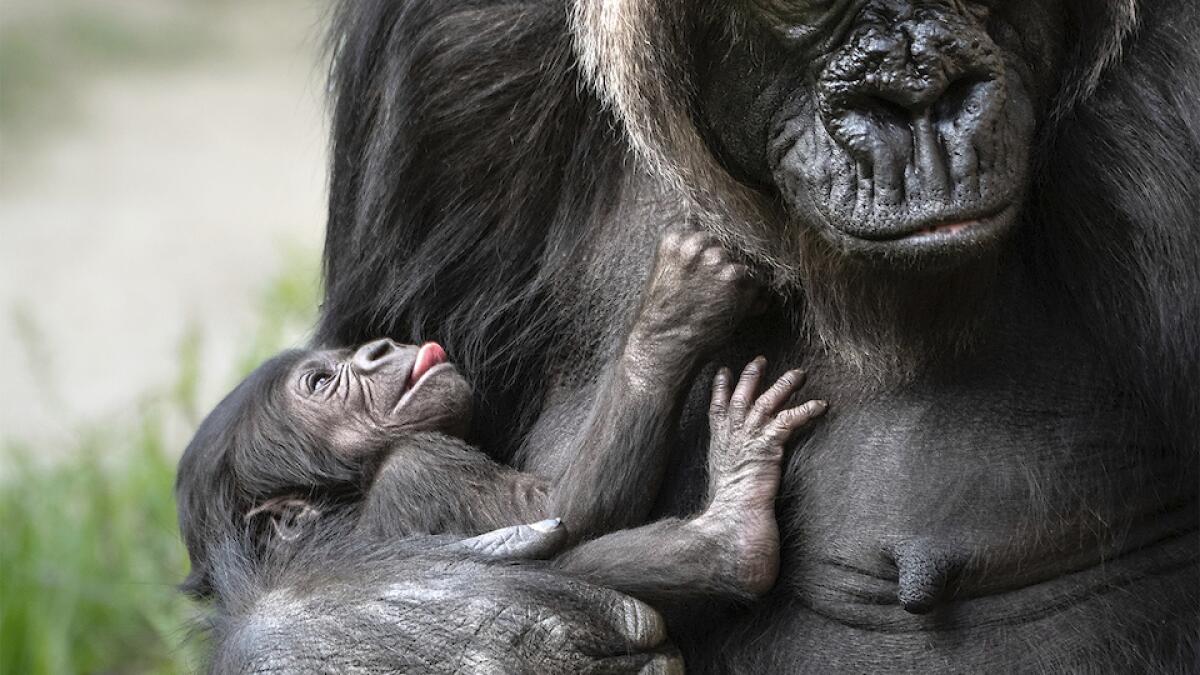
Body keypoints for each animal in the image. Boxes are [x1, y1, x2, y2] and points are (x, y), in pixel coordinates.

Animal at [177, 228, 825, 607]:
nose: (377, 348)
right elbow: (560, 511)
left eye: (344, 353)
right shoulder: (424, 469)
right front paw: (674, 310)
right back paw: (736, 532)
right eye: (319, 383)